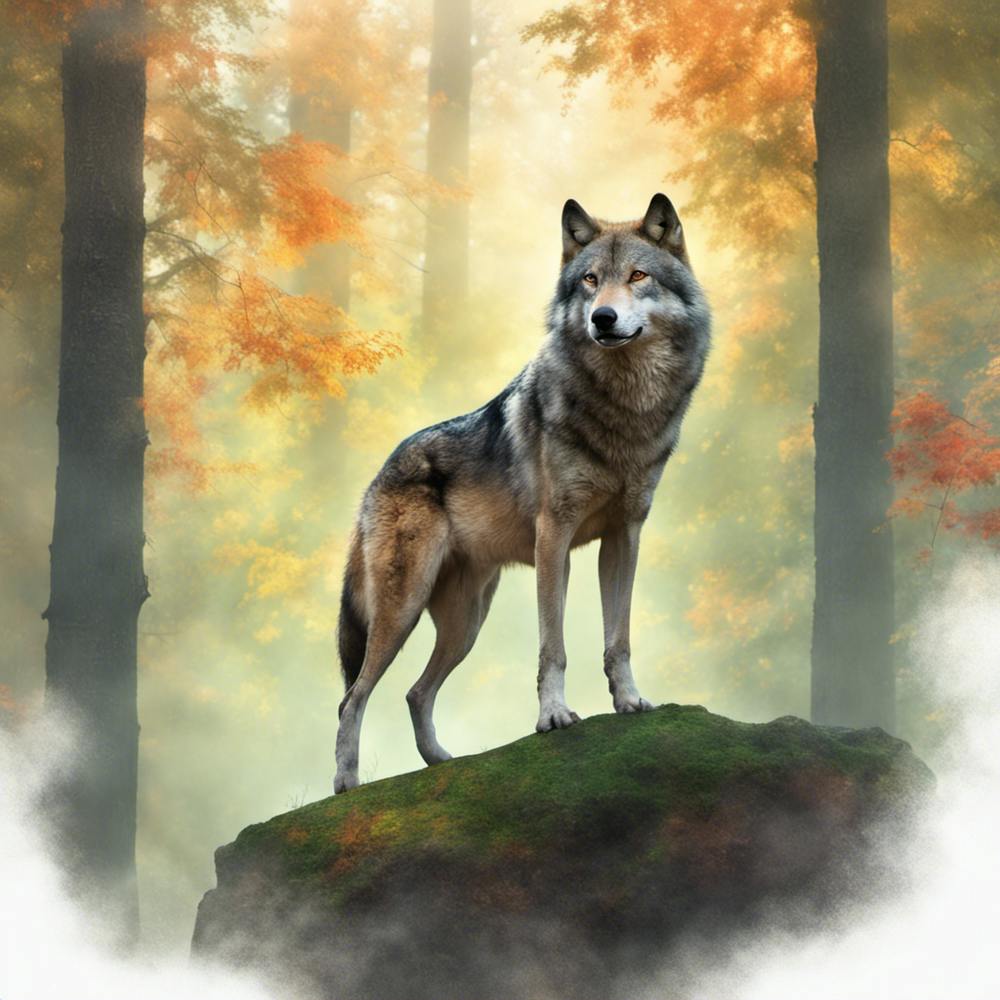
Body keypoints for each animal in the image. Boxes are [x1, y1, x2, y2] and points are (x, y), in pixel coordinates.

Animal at [334, 193, 711, 792]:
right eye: (589, 280)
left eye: (638, 276)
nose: (603, 317)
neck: (622, 411)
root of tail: (378, 473)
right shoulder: (554, 537)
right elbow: (552, 647)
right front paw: (554, 717)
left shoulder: (624, 536)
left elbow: (619, 639)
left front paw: (629, 702)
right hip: (401, 611)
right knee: (352, 698)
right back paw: (348, 786)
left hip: (465, 623)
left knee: (415, 692)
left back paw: (443, 762)